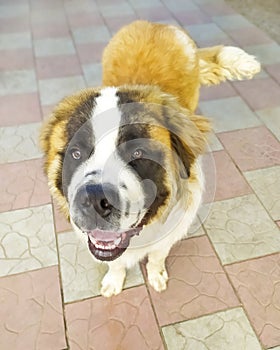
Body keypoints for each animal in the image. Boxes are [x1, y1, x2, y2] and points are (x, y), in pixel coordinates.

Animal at [40, 20, 260, 296]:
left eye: (137, 152)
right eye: (76, 152)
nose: (93, 200)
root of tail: (159, 24)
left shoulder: (169, 234)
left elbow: (157, 256)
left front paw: (156, 276)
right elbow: (115, 263)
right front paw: (114, 280)